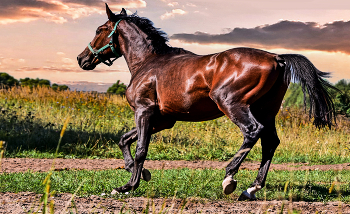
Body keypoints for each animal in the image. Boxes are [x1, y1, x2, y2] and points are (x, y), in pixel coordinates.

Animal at [78, 3, 338, 201]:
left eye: (100, 29)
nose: (82, 59)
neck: (148, 63)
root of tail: (277, 58)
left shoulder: (144, 112)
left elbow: (141, 148)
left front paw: (127, 186)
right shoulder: (163, 120)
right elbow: (124, 140)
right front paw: (141, 174)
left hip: (233, 105)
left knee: (253, 132)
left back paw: (229, 177)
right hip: (266, 110)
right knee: (270, 142)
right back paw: (251, 189)